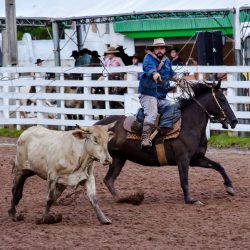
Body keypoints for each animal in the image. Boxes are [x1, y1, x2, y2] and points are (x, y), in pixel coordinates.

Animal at [95, 81, 238, 204]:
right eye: (222, 99)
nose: (234, 121)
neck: (188, 126)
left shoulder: (196, 159)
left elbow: (218, 166)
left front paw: (230, 187)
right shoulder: (183, 160)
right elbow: (184, 180)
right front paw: (190, 200)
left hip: (118, 158)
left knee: (109, 180)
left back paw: (123, 199)